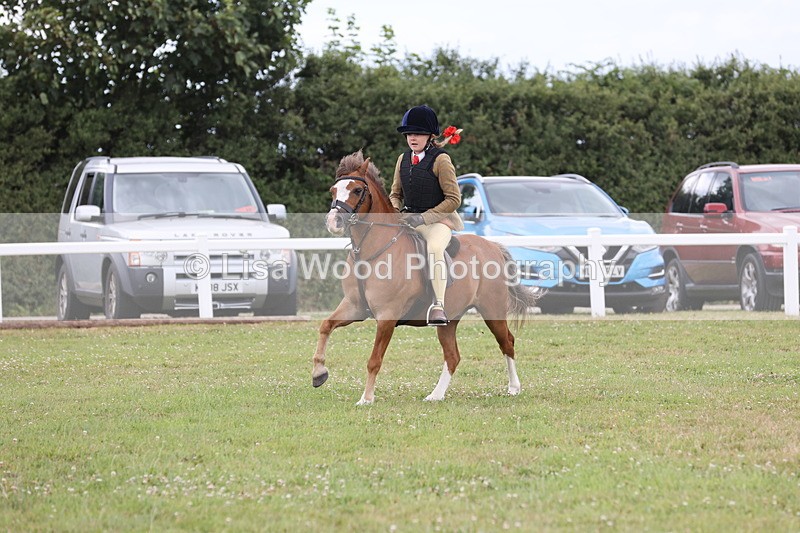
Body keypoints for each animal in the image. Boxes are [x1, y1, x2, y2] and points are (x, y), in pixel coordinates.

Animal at [312, 151, 539, 404]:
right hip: (450, 320)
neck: (372, 251)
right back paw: (436, 395)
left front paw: (366, 399)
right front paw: (319, 373)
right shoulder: (355, 307)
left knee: (507, 342)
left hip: (492, 310)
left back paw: (514, 387)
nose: (334, 222)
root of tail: (492, 247)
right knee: (453, 356)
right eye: (333, 190)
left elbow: (374, 360)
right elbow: (325, 325)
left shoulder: (387, 316)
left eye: (357, 190)